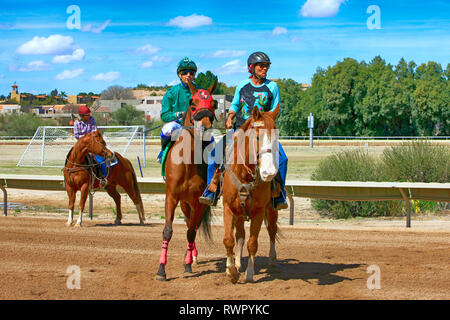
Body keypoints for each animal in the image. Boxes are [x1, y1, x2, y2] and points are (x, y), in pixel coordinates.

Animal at [156, 80, 217, 282]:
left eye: (213, 103)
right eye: (192, 102)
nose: (204, 126)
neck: (188, 161)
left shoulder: (198, 201)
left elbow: (191, 232)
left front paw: (188, 264)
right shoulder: (171, 197)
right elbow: (168, 230)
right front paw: (161, 270)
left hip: (195, 203)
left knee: (194, 226)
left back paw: (192, 256)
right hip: (184, 203)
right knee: (190, 222)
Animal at [221, 105, 280, 282]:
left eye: (277, 138)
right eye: (258, 137)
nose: (269, 173)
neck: (244, 175)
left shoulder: (259, 211)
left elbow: (253, 243)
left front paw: (249, 273)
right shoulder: (228, 207)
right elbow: (229, 239)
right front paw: (231, 271)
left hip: (272, 209)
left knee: (272, 230)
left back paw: (272, 259)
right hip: (239, 213)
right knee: (240, 235)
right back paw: (237, 264)